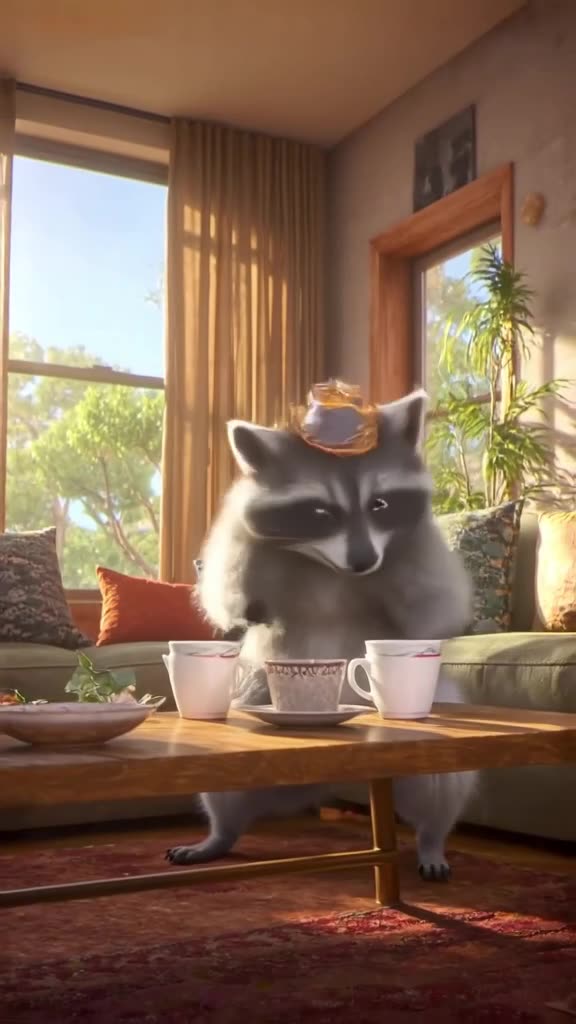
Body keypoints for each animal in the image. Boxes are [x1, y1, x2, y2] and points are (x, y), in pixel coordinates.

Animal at [166, 390, 477, 880]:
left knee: (440, 785)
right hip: (253, 691)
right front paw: (243, 607)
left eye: (380, 504)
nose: (365, 561)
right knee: (224, 794)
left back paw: (432, 841)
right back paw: (220, 835)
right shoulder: (243, 538)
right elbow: (224, 588)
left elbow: (435, 608)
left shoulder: (422, 548)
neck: (328, 565)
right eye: (320, 511)